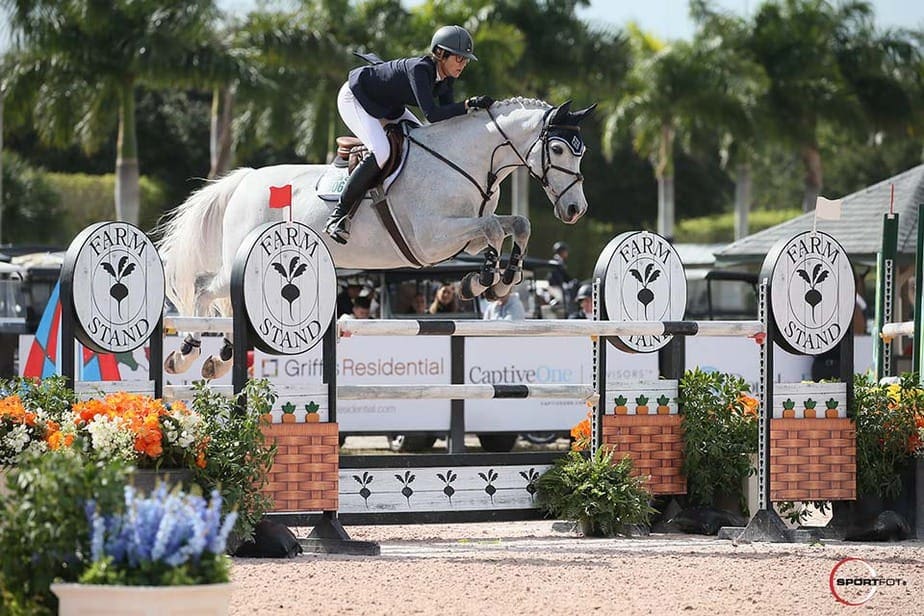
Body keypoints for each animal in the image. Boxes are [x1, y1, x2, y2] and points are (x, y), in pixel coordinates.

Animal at [157, 97, 592, 376]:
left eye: (581, 152)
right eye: (557, 148)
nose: (576, 210)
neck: (465, 161)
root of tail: (244, 181)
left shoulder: (461, 236)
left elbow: (515, 225)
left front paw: (499, 279)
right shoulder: (432, 239)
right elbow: (493, 229)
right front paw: (484, 280)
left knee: (223, 300)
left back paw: (221, 356)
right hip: (247, 259)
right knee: (203, 288)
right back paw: (186, 353)